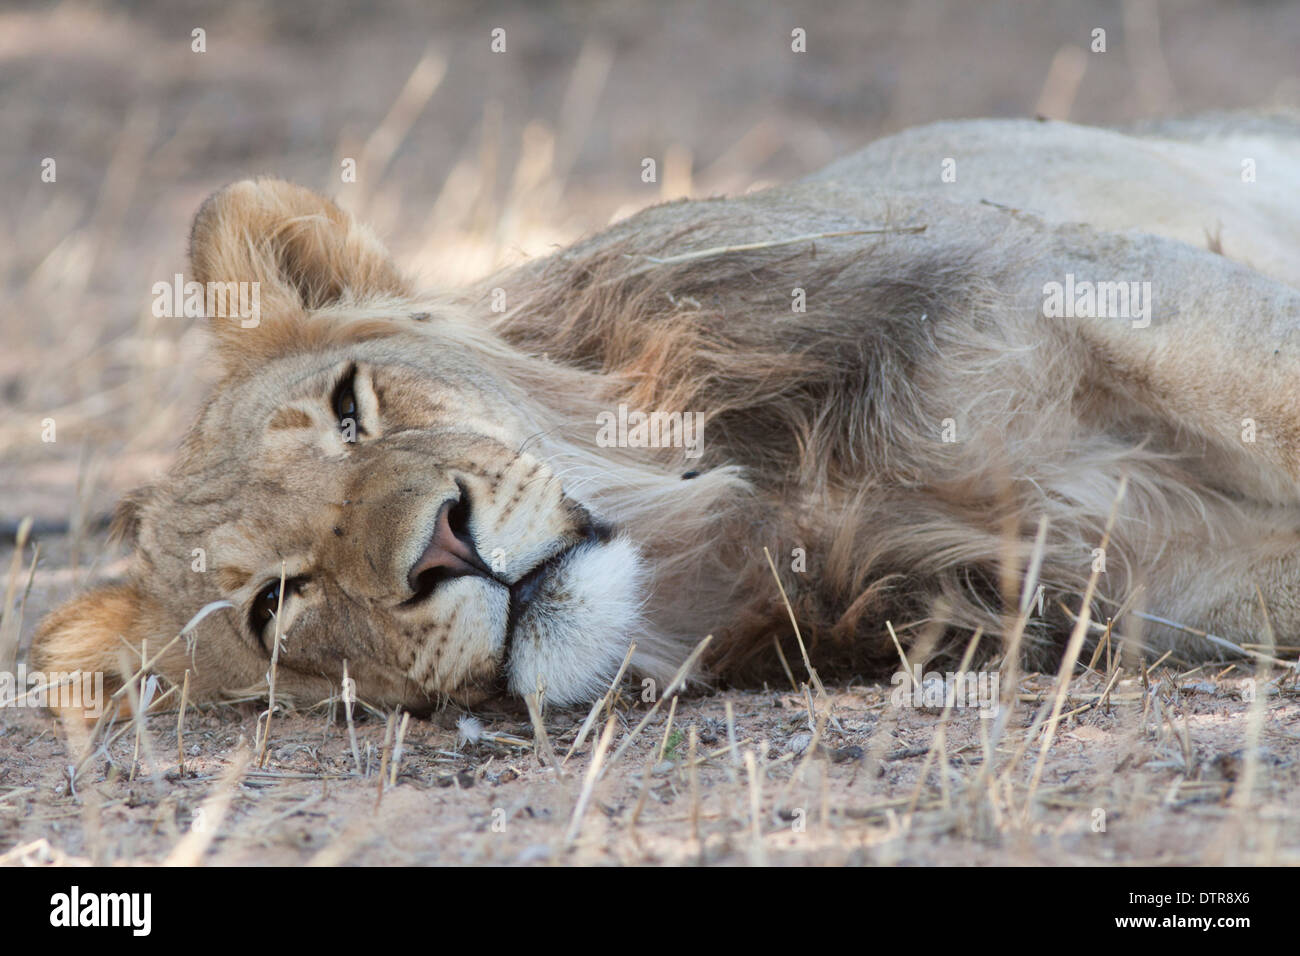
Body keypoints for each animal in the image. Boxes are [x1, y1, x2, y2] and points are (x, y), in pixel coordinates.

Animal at [30, 111, 1300, 712]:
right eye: (272, 604)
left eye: (352, 406)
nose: (440, 546)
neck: (786, 509)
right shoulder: (1163, 585)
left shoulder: (1085, 286)